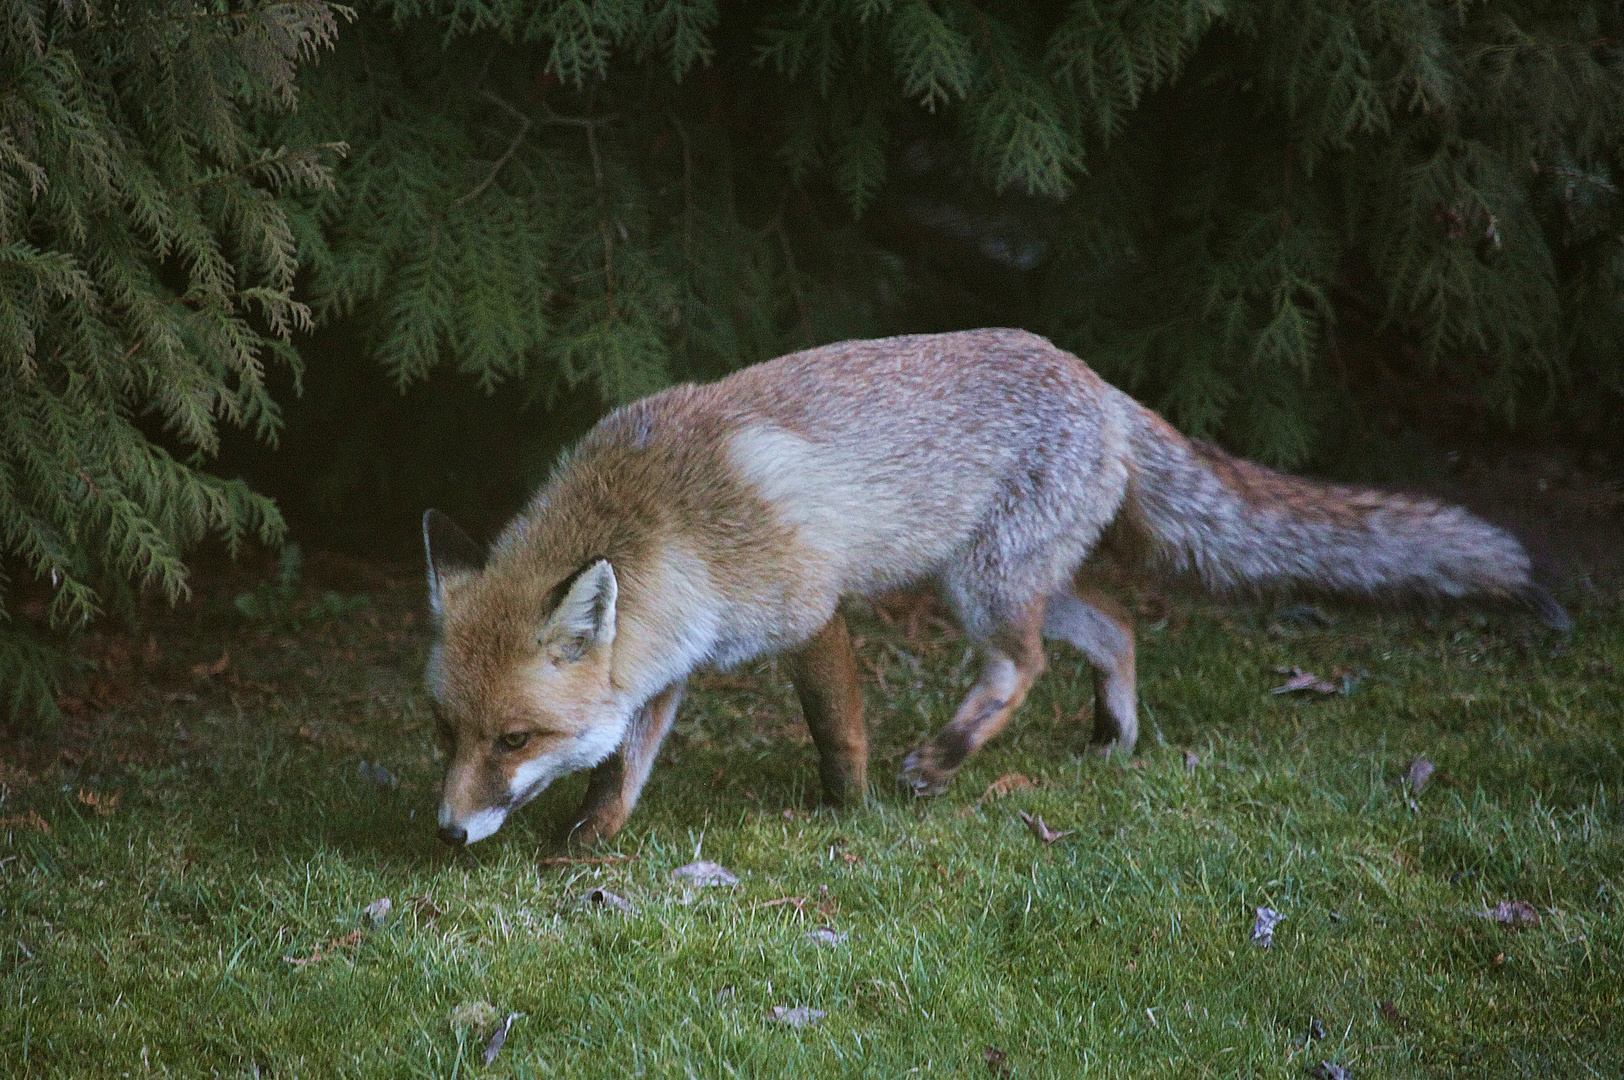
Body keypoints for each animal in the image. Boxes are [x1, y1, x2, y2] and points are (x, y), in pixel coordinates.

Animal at [425, 324, 1565, 844]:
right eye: (449, 734)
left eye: (515, 740)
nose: (442, 832)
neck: (667, 520)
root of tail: (1099, 380)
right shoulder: (669, 659)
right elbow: (625, 766)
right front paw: (589, 846)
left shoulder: (809, 611)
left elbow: (838, 731)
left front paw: (851, 813)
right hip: (1007, 578)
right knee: (1115, 629)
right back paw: (1115, 737)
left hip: (982, 588)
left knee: (1020, 666)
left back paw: (948, 757)